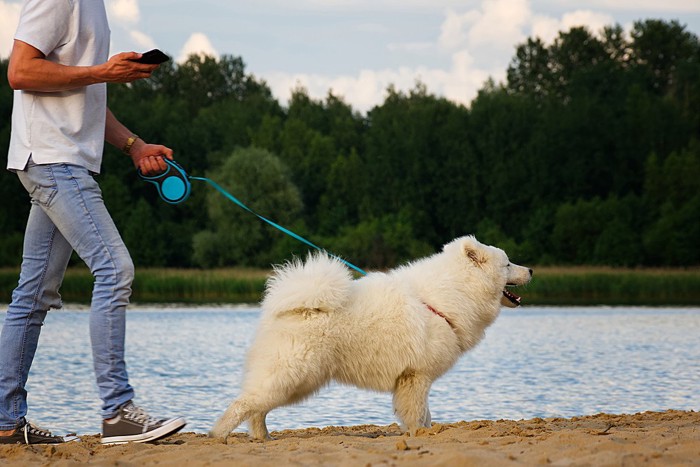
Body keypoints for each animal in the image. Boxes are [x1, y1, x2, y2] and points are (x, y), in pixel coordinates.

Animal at [211, 236, 532, 440]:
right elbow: (418, 413)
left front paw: (428, 432)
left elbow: (425, 413)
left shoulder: (415, 378)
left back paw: (262, 438)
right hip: (292, 374)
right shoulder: (416, 377)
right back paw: (219, 435)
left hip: (296, 381)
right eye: (507, 264)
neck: (446, 297)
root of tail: (291, 306)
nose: (530, 269)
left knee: (257, 409)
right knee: (243, 404)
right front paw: (420, 434)